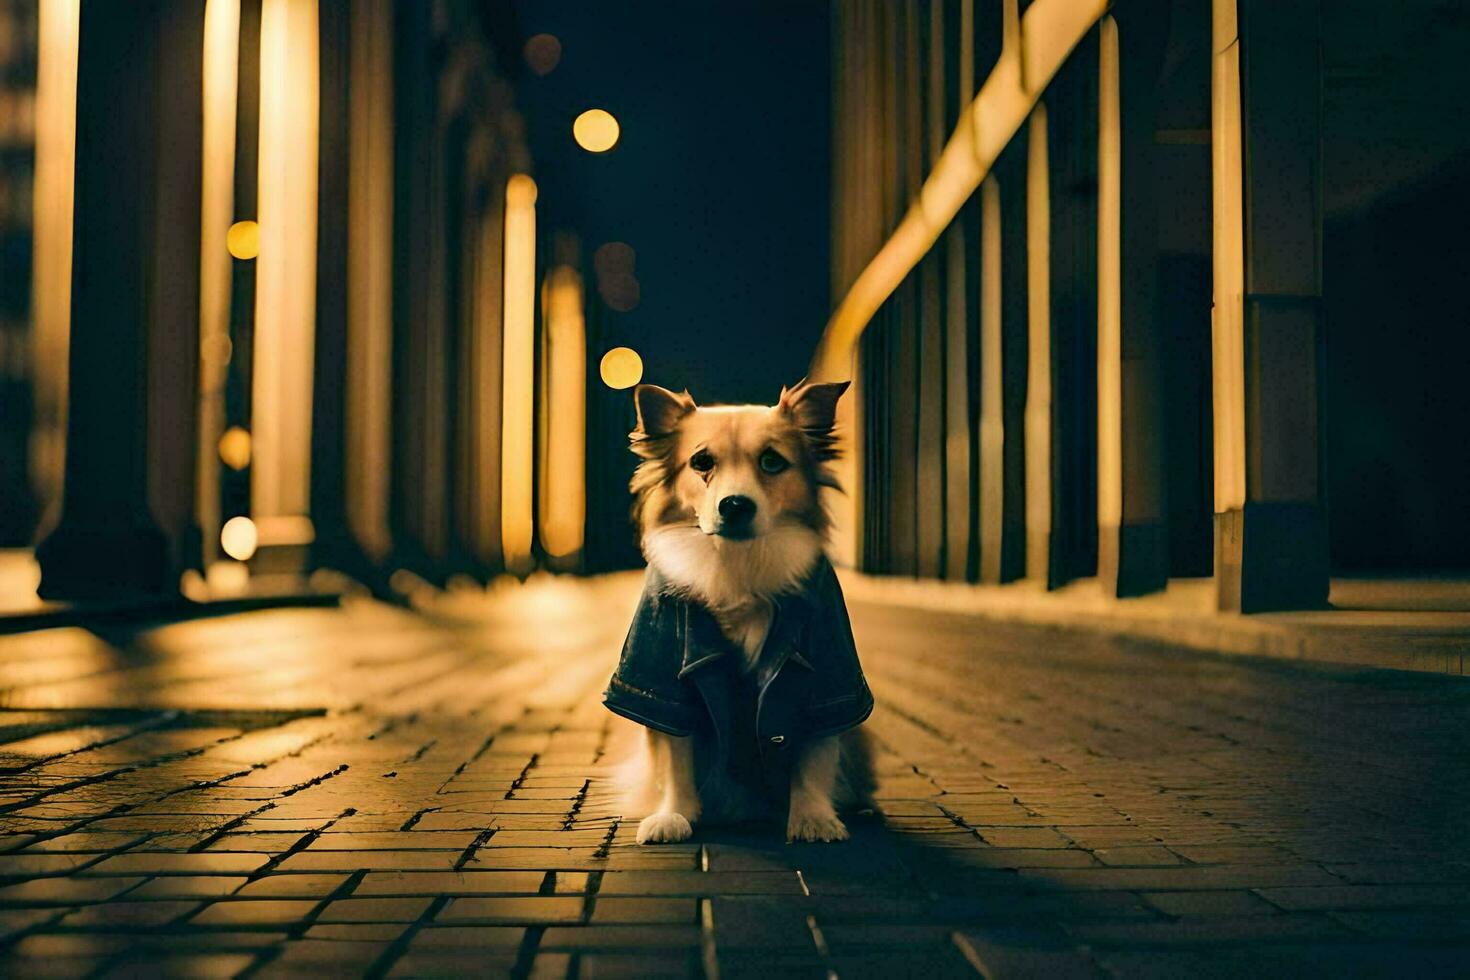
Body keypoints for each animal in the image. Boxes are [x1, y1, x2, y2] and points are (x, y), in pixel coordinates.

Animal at [599, 379, 864, 846]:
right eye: (701, 462)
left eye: (773, 461)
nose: (735, 505)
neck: (736, 565)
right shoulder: (661, 680)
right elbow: (674, 755)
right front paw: (674, 815)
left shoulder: (828, 677)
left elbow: (816, 751)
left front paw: (813, 817)